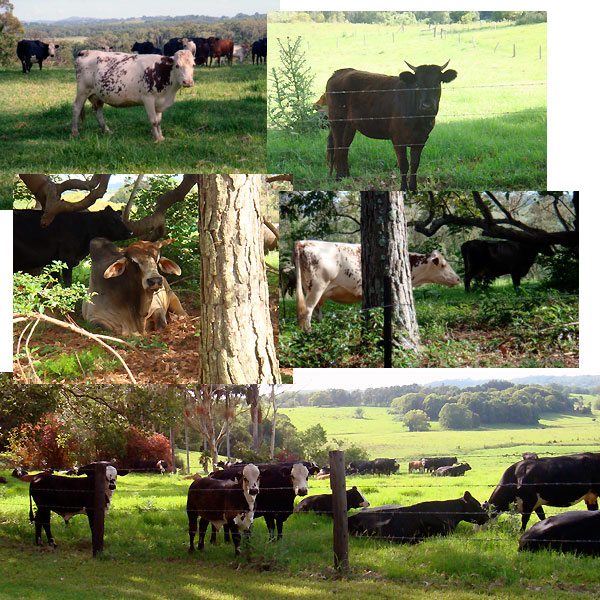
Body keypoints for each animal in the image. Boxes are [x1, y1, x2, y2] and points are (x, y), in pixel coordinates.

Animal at [292, 240, 462, 332]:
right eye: (443, 265)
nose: (458, 279)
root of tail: (304, 242)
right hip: (316, 287)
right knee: (307, 310)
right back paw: (308, 333)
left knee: (316, 312)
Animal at [326, 61, 458, 190]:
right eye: (417, 84)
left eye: (437, 83)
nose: (427, 106)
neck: (419, 120)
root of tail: (339, 72)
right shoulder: (398, 139)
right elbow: (404, 164)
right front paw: (403, 188)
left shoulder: (421, 139)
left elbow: (415, 164)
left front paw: (413, 188)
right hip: (337, 121)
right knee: (338, 147)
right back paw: (339, 177)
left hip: (350, 126)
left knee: (345, 147)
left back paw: (347, 176)